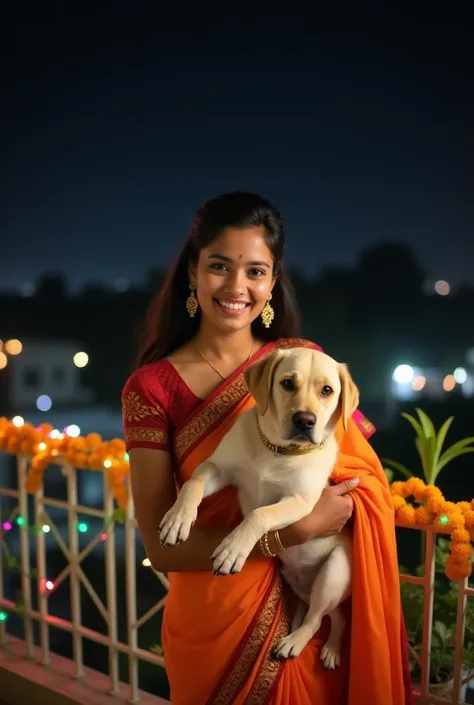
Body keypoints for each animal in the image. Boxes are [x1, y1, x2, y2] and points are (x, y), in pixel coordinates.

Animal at [159, 350, 360, 668]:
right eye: (287, 383)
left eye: (327, 390)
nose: (305, 420)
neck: (277, 451)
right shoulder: (219, 469)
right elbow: (194, 483)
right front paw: (178, 518)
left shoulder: (301, 501)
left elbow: (260, 513)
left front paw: (233, 549)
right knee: (331, 615)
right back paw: (328, 647)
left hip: (335, 571)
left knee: (317, 619)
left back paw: (298, 643)